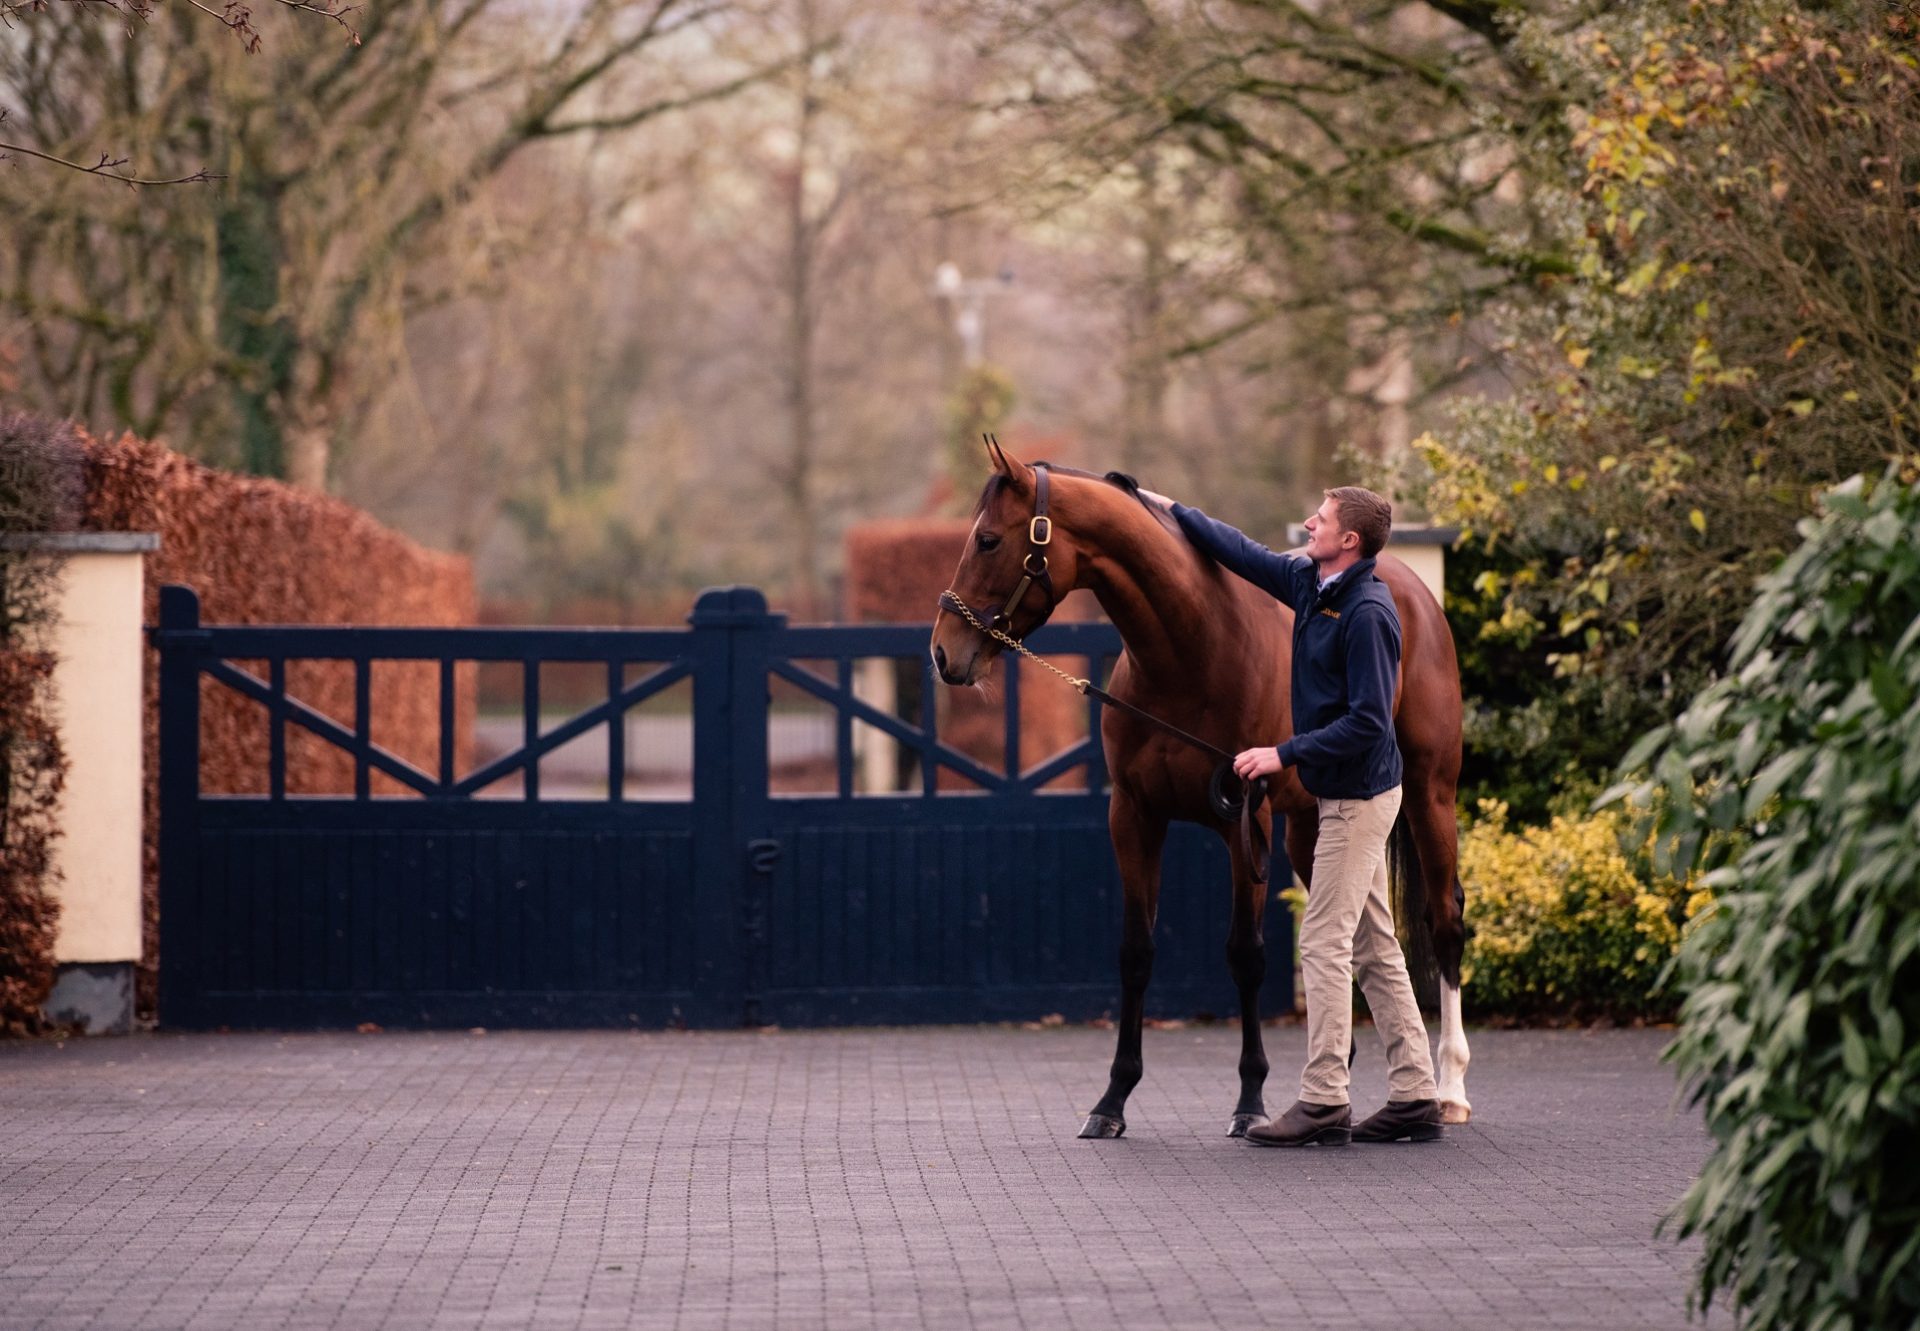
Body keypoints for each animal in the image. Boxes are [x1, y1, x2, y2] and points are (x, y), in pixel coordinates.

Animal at [929, 439, 1472, 1137]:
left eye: (989, 540)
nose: (944, 654)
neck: (1191, 653)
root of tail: (1407, 586)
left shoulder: (1246, 820)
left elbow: (1246, 955)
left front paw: (1250, 1100)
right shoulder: (1134, 818)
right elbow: (1136, 951)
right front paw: (1112, 1101)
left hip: (1431, 794)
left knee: (1445, 919)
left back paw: (1450, 1090)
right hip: (1311, 827)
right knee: (1355, 934)